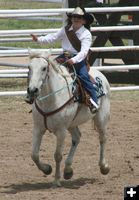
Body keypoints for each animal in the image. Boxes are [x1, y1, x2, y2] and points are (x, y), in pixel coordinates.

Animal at [27, 49, 111, 187]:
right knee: (77, 137)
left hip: (101, 117)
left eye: (44, 68)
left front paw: (56, 180)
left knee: (103, 138)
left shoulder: (61, 131)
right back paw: (68, 170)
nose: (32, 90)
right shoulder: (38, 128)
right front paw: (47, 169)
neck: (51, 99)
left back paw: (104, 167)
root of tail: (100, 75)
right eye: (29, 67)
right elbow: (34, 154)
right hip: (72, 124)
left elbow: (57, 155)